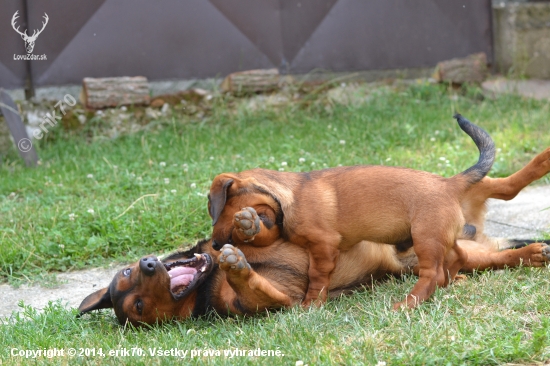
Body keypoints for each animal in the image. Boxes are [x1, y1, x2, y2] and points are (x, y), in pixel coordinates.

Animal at [209, 114, 498, 308]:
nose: (214, 245)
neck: (290, 197)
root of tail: (450, 183)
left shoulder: (323, 246)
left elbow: (316, 277)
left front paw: (311, 304)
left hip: (425, 237)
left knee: (432, 273)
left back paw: (408, 303)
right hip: (440, 237)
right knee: (458, 255)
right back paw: (447, 281)